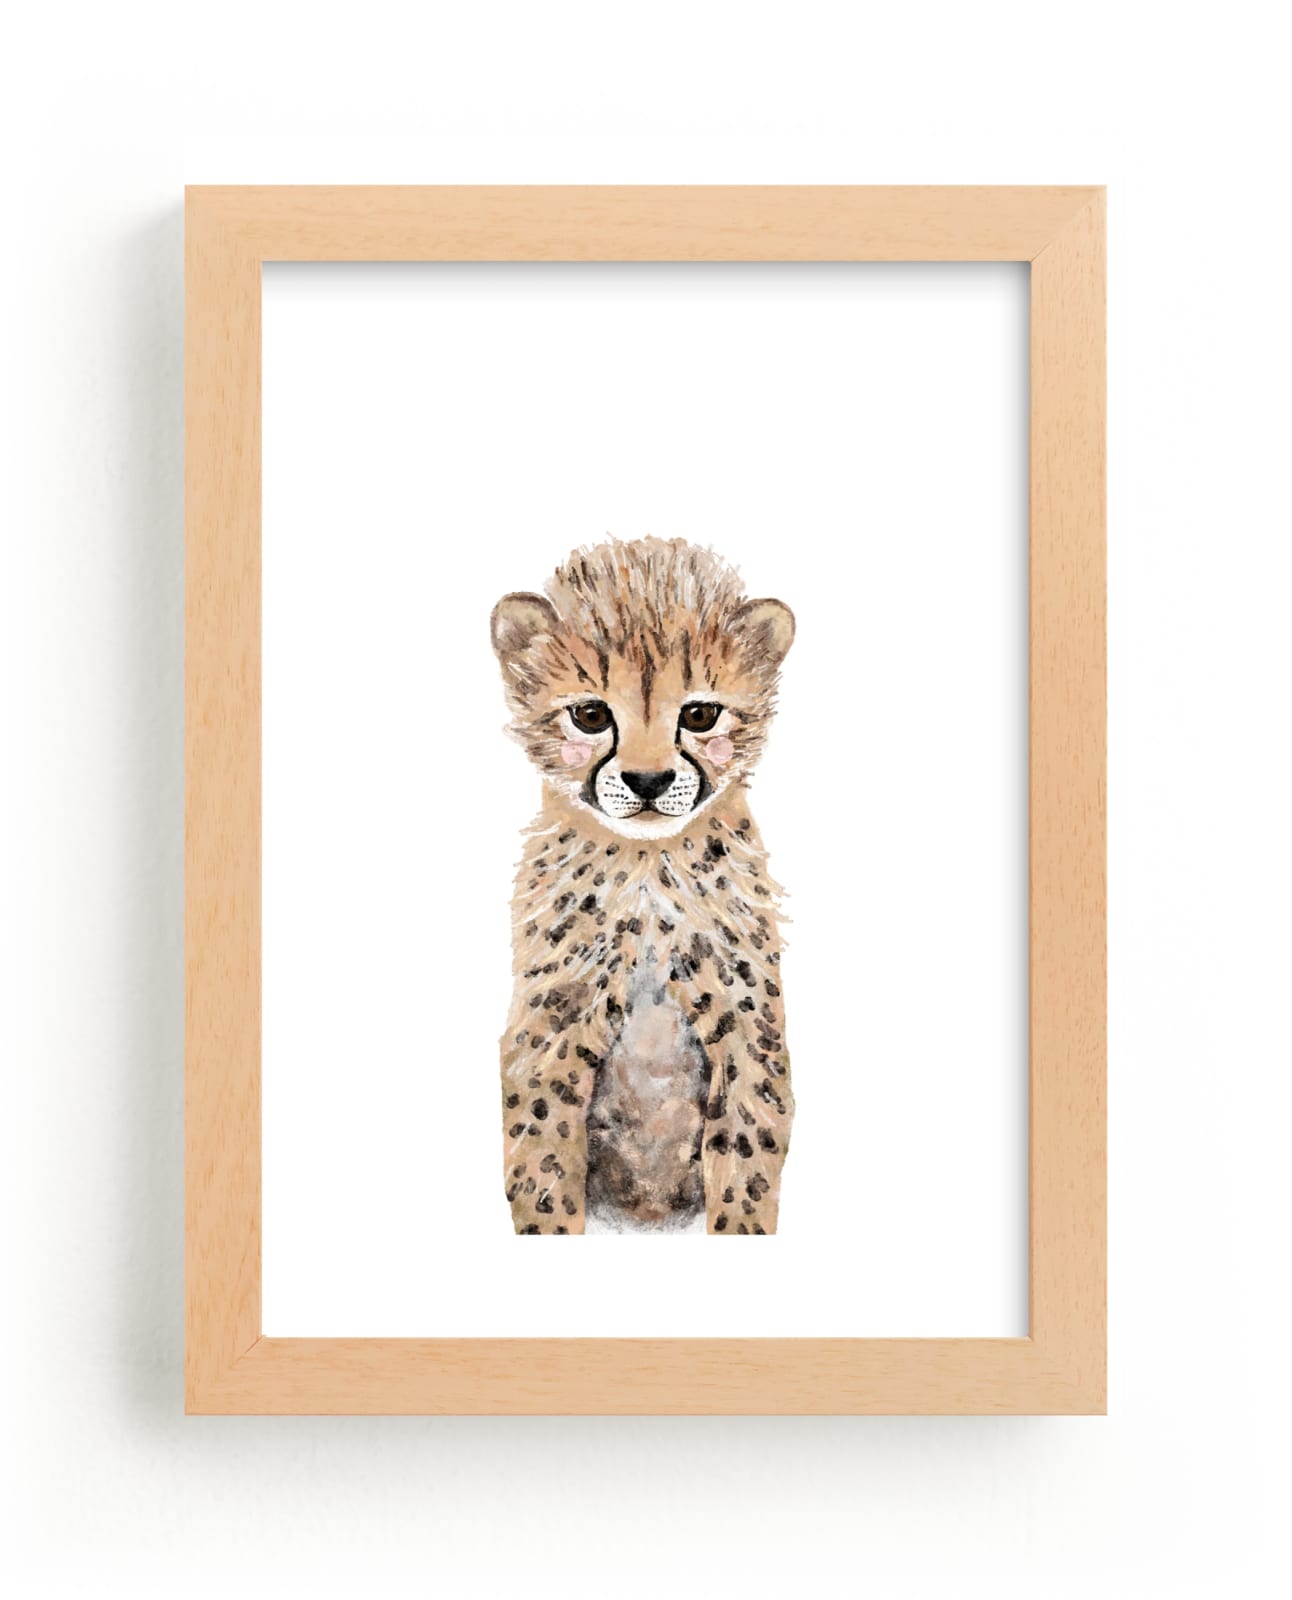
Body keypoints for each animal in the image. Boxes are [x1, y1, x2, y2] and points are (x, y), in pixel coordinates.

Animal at [490, 536, 796, 1235]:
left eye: (701, 714)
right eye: (590, 714)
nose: (650, 782)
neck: (647, 868)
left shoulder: (747, 1025)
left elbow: (746, 1155)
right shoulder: (551, 1026)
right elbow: (542, 1165)